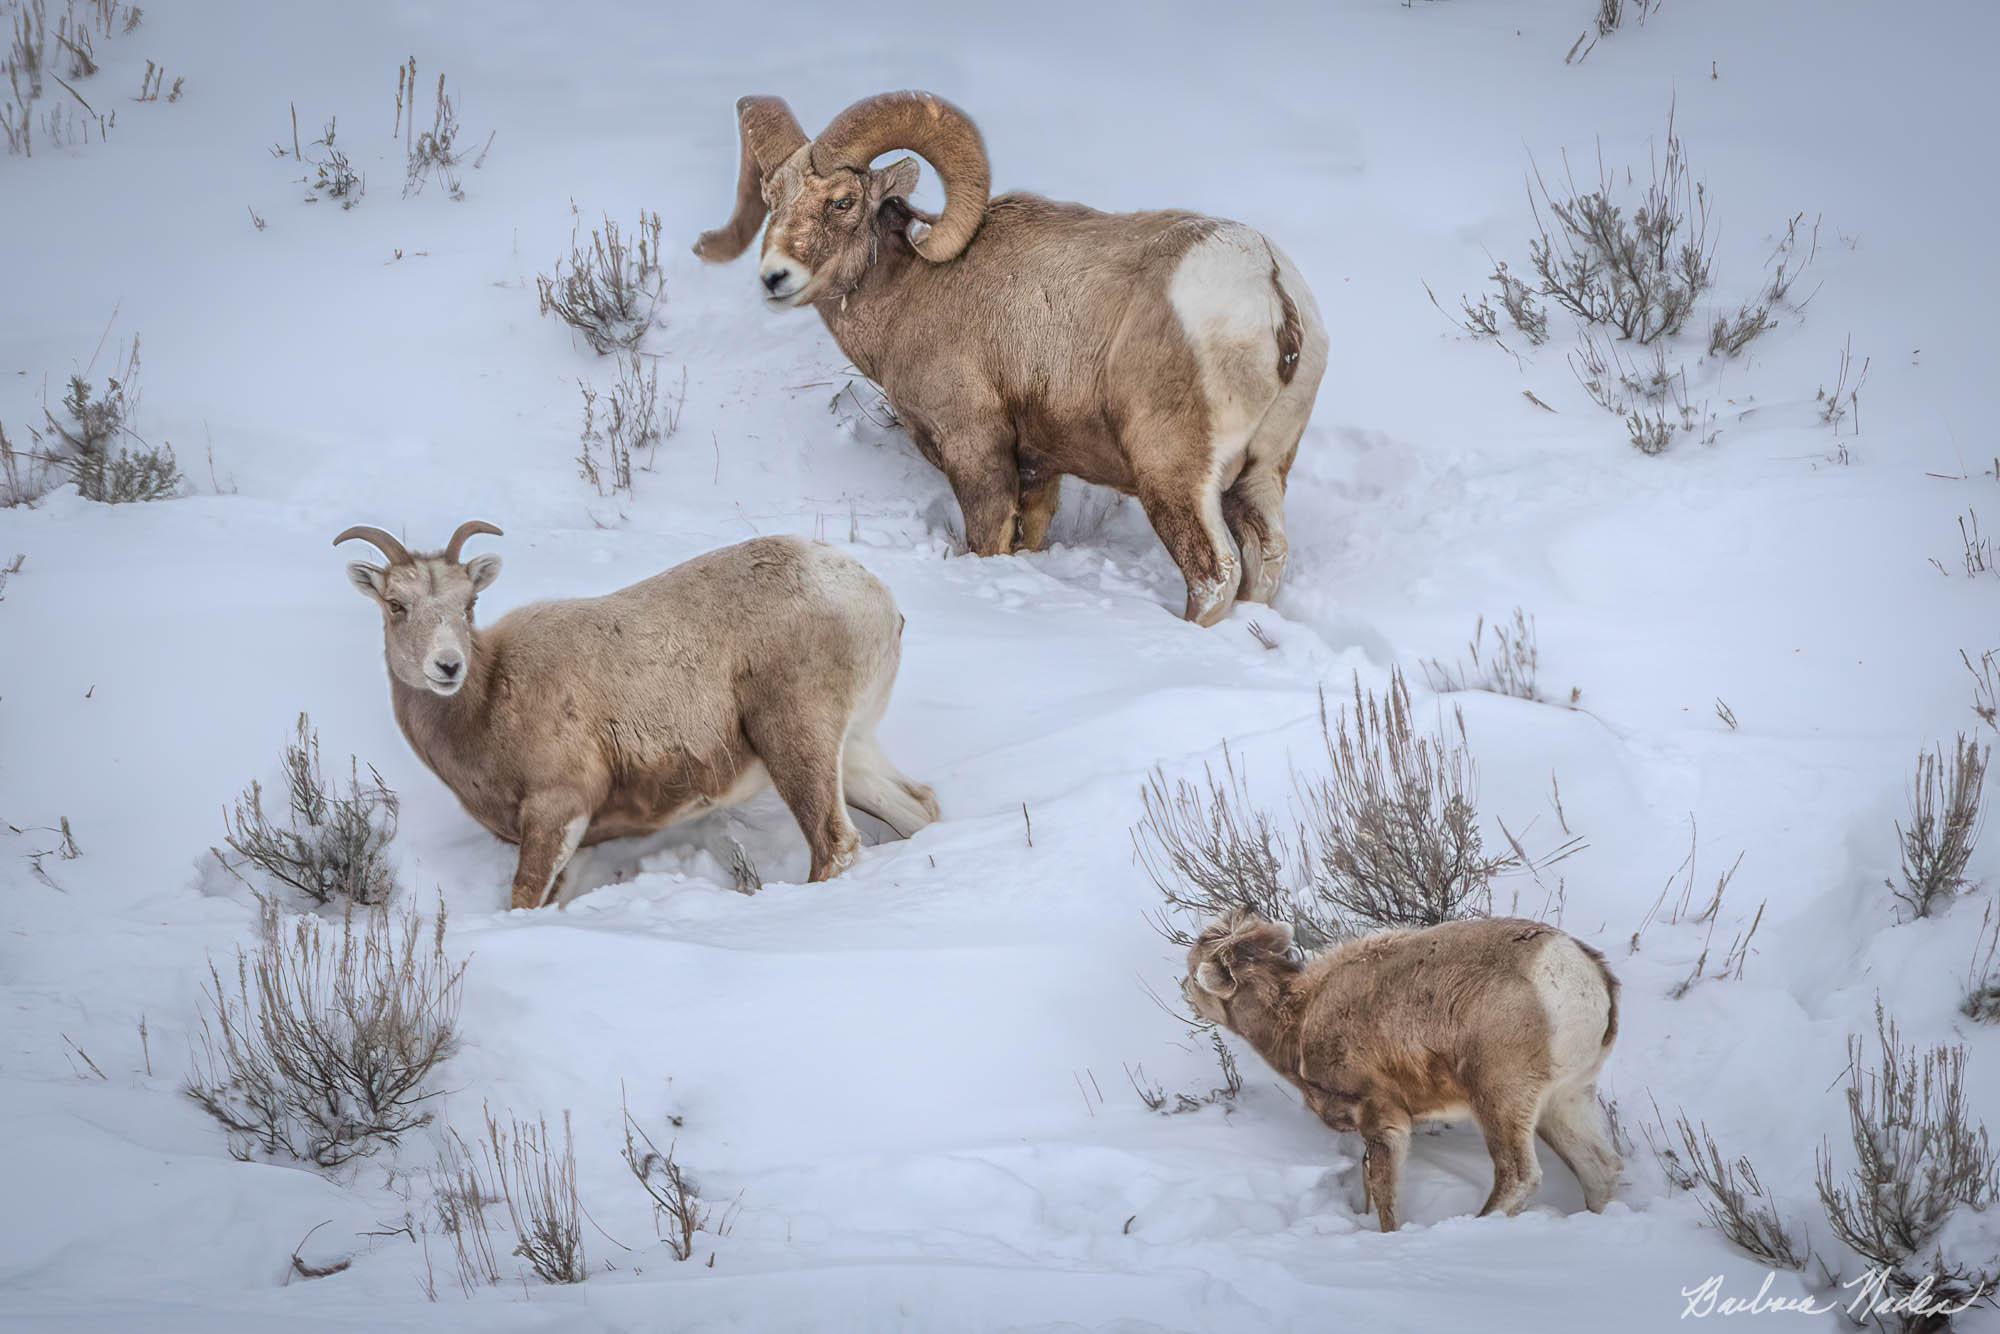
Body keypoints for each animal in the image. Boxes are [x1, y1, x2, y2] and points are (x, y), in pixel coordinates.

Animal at [336, 520, 936, 908]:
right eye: (396, 605)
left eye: (468, 605)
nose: (447, 666)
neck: (486, 703)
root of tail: (873, 596)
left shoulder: (557, 810)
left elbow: (523, 900)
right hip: (851, 753)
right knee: (918, 809)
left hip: (795, 740)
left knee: (835, 844)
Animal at [692, 94, 1328, 628]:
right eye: (772, 202)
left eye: (842, 201)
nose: (775, 278)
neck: (914, 290)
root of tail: (1269, 285)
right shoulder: (1040, 467)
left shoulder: (976, 451)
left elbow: (988, 538)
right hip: (1260, 476)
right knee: (1265, 561)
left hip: (1174, 477)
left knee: (1213, 576)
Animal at [1184, 912, 1624, 1240]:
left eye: (1193, 972)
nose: (1187, 995)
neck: (1298, 1022)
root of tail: (1578, 971)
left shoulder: (1381, 1117)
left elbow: (1384, 1197)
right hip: (1564, 1101)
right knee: (1600, 1169)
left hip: (1500, 1097)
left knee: (1519, 1176)